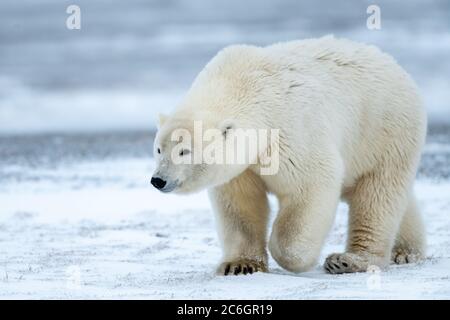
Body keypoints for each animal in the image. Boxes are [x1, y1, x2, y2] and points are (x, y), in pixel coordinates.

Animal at [150, 35, 426, 276]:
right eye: (159, 149)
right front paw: (239, 265)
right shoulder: (241, 168)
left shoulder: (291, 131)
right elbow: (241, 206)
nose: (158, 180)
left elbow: (312, 183)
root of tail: (394, 64)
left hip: (382, 132)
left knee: (377, 196)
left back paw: (349, 260)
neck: (245, 85)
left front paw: (294, 258)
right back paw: (405, 250)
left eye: (184, 151)